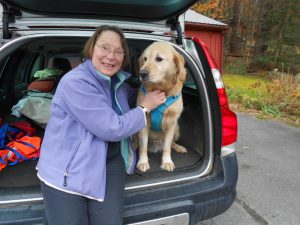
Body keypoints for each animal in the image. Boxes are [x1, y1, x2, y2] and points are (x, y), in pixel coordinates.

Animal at [137, 41, 188, 172]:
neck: (161, 89)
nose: (142, 73)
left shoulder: (171, 123)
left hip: (177, 129)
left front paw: (167, 162)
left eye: (159, 59)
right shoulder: (144, 123)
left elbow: (167, 147)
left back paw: (179, 147)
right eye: (145, 58)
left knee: (171, 143)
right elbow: (143, 146)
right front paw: (142, 162)